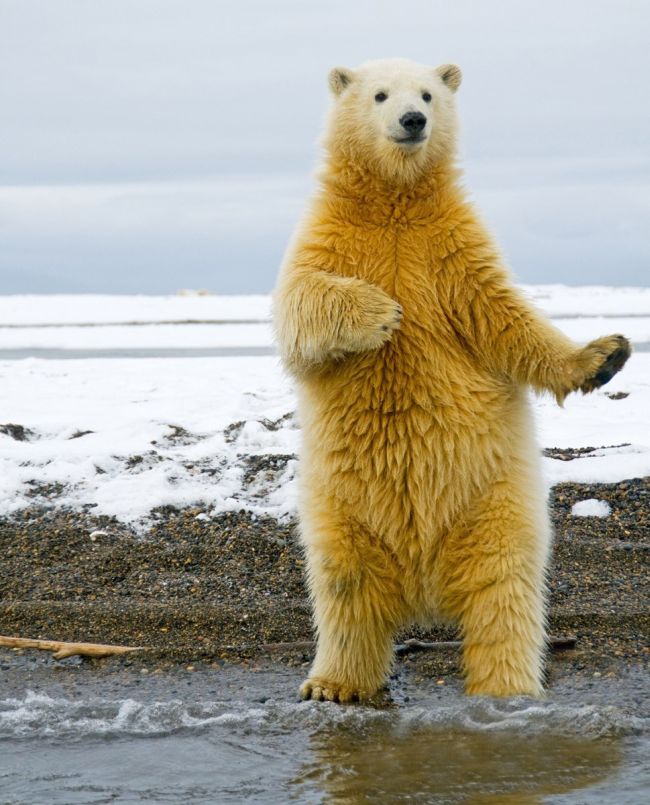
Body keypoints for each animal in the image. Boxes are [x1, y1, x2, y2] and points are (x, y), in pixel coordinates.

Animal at [270, 58, 632, 696]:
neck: (394, 200)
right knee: (344, 588)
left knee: (502, 590)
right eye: (380, 94)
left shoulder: (452, 250)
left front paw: (605, 353)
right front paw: (381, 312)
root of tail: (422, 586)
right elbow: (301, 303)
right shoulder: (330, 236)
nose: (413, 119)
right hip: (342, 508)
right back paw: (335, 683)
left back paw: (506, 684)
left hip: (491, 501)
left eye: (428, 93)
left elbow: (505, 319)